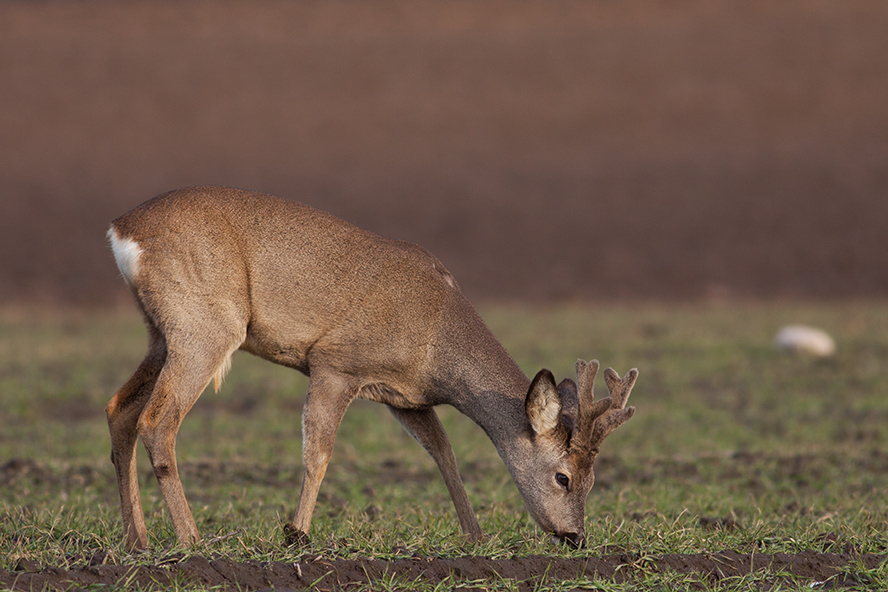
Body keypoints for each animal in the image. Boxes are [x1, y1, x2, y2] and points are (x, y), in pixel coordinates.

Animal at [106, 186, 640, 552]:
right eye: (563, 477)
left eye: (594, 479)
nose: (575, 537)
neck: (436, 336)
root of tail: (122, 230)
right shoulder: (334, 364)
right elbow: (318, 452)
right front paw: (297, 534)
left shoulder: (405, 398)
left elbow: (444, 455)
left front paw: (475, 535)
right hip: (206, 327)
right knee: (158, 421)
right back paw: (192, 540)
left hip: (162, 333)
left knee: (120, 410)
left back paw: (139, 541)